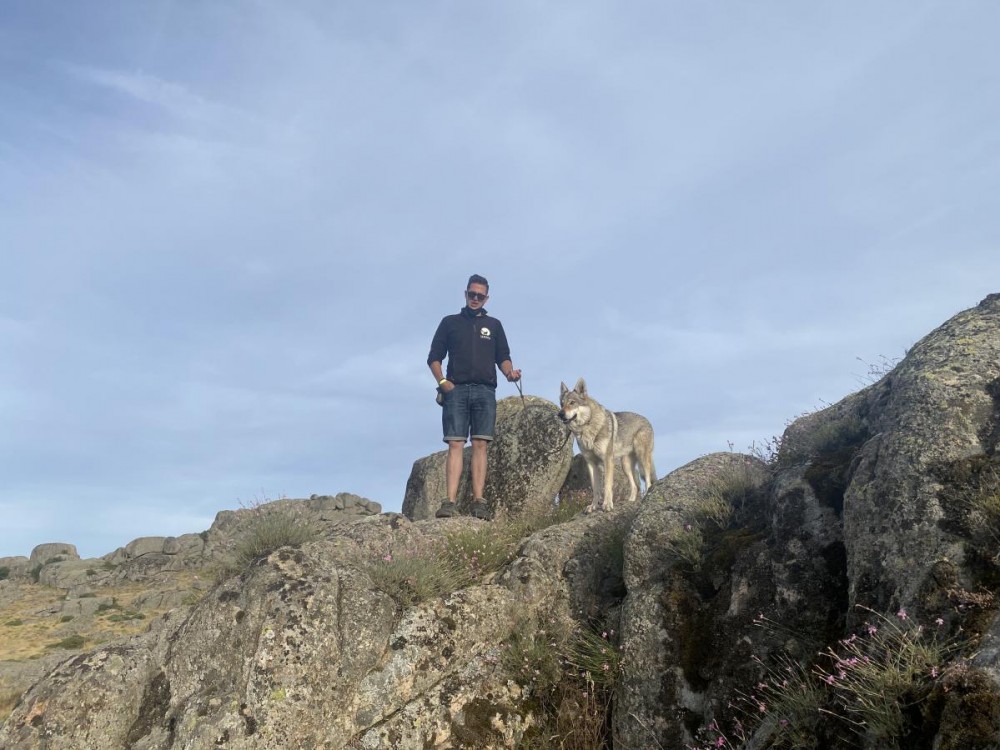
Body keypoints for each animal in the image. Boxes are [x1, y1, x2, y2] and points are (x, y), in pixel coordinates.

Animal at [558, 378, 657, 512]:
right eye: (562, 404)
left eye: (572, 403)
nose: (560, 414)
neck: (586, 427)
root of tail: (647, 420)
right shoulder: (591, 463)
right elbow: (596, 488)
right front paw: (593, 506)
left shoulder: (607, 460)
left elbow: (607, 485)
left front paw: (607, 505)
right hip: (625, 465)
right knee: (635, 486)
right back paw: (630, 501)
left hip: (642, 458)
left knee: (647, 480)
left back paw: (646, 495)